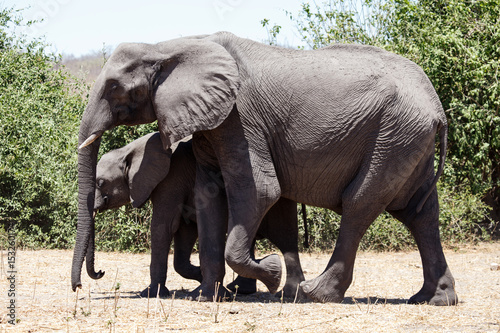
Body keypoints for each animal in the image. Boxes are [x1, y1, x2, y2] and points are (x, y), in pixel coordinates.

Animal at [94, 132, 304, 298]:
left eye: (100, 182)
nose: (101, 272)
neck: (131, 149)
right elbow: (184, 230)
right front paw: (201, 276)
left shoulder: (171, 178)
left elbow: (164, 225)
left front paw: (151, 294)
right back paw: (240, 288)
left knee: (283, 236)